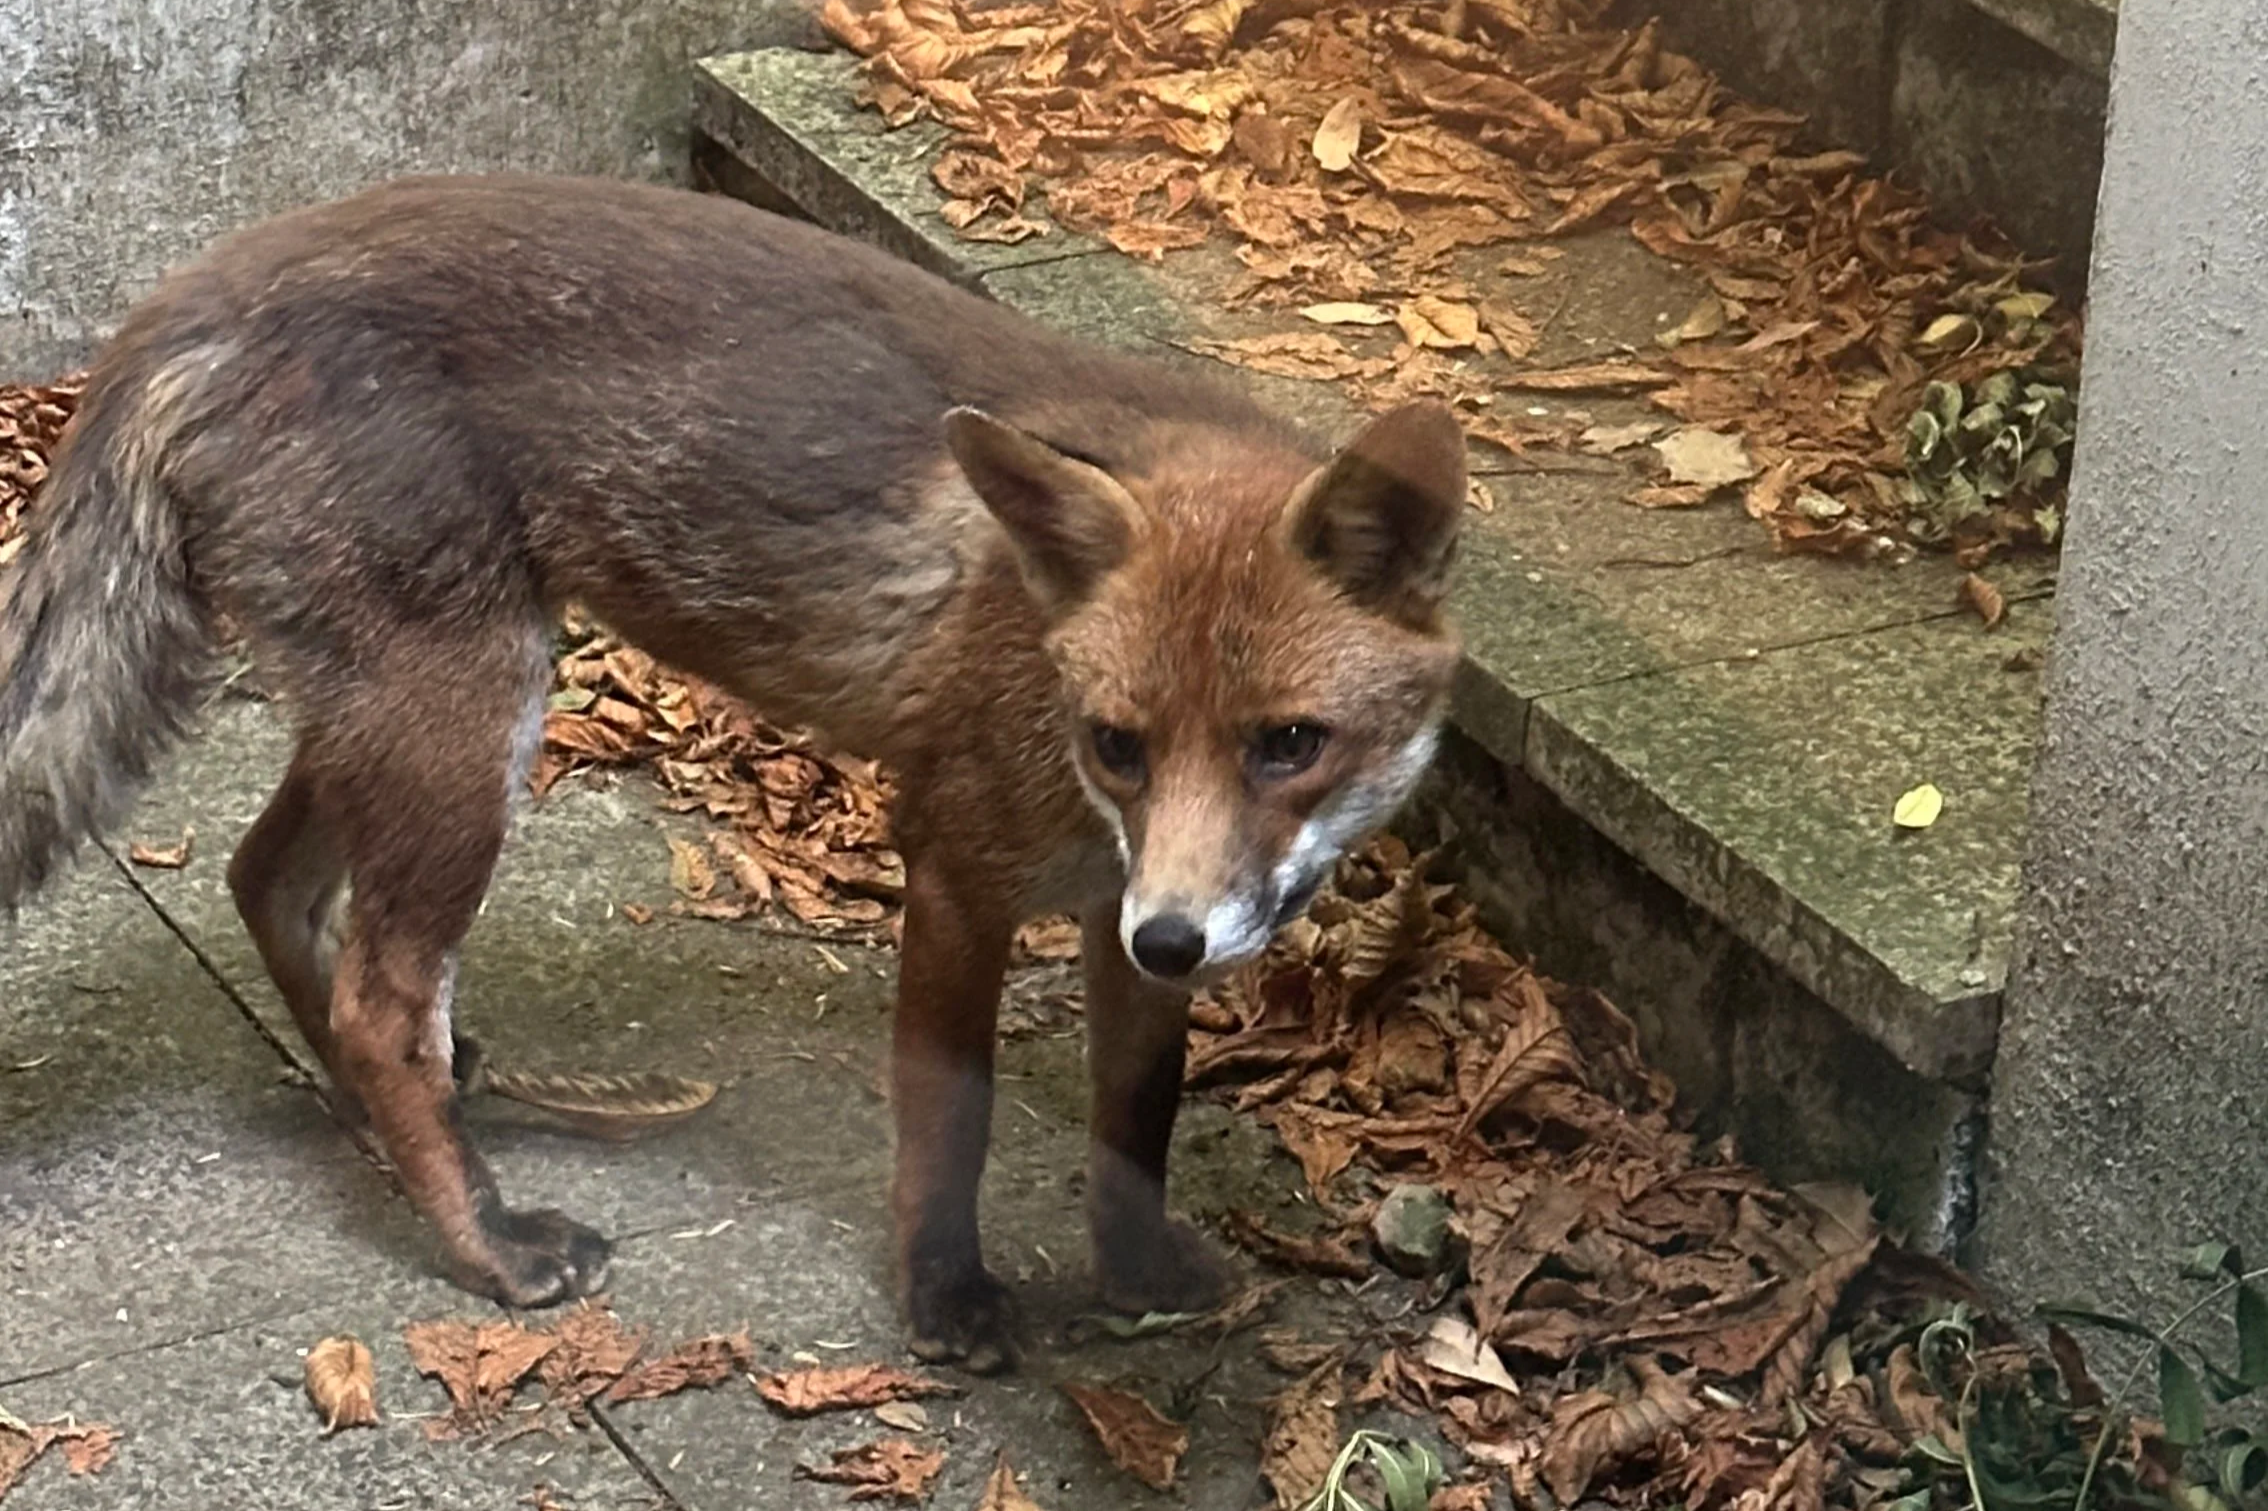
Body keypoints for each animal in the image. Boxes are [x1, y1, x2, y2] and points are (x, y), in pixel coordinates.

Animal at [0, 173, 1466, 1371]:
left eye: (1289, 743)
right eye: (1120, 740)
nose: (1176, 938)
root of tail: (190, 291)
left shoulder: (1123, 905)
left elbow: (1136, 1114)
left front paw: (1136, 1268)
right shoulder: (957, 863)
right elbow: (954, 1123)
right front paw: (945, 1296)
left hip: (400, 717)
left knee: (270, 885)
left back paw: (383, 1114)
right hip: (468, 732)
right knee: (378, 997)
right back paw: (489, 1237)